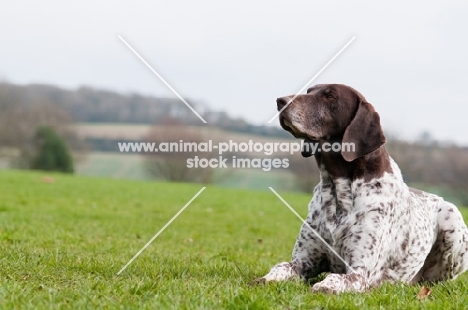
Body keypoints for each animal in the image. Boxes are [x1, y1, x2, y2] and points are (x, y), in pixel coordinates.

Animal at [256, 83, 468, 294]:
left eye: (330, 96)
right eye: (309, 91)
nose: (280, 101)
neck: (337, 191)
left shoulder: (360, 272)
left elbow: (335, 278)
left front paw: (325, 285)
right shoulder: (303, 261)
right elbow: (282, 266)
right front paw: (266, 278)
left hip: (452, 219)